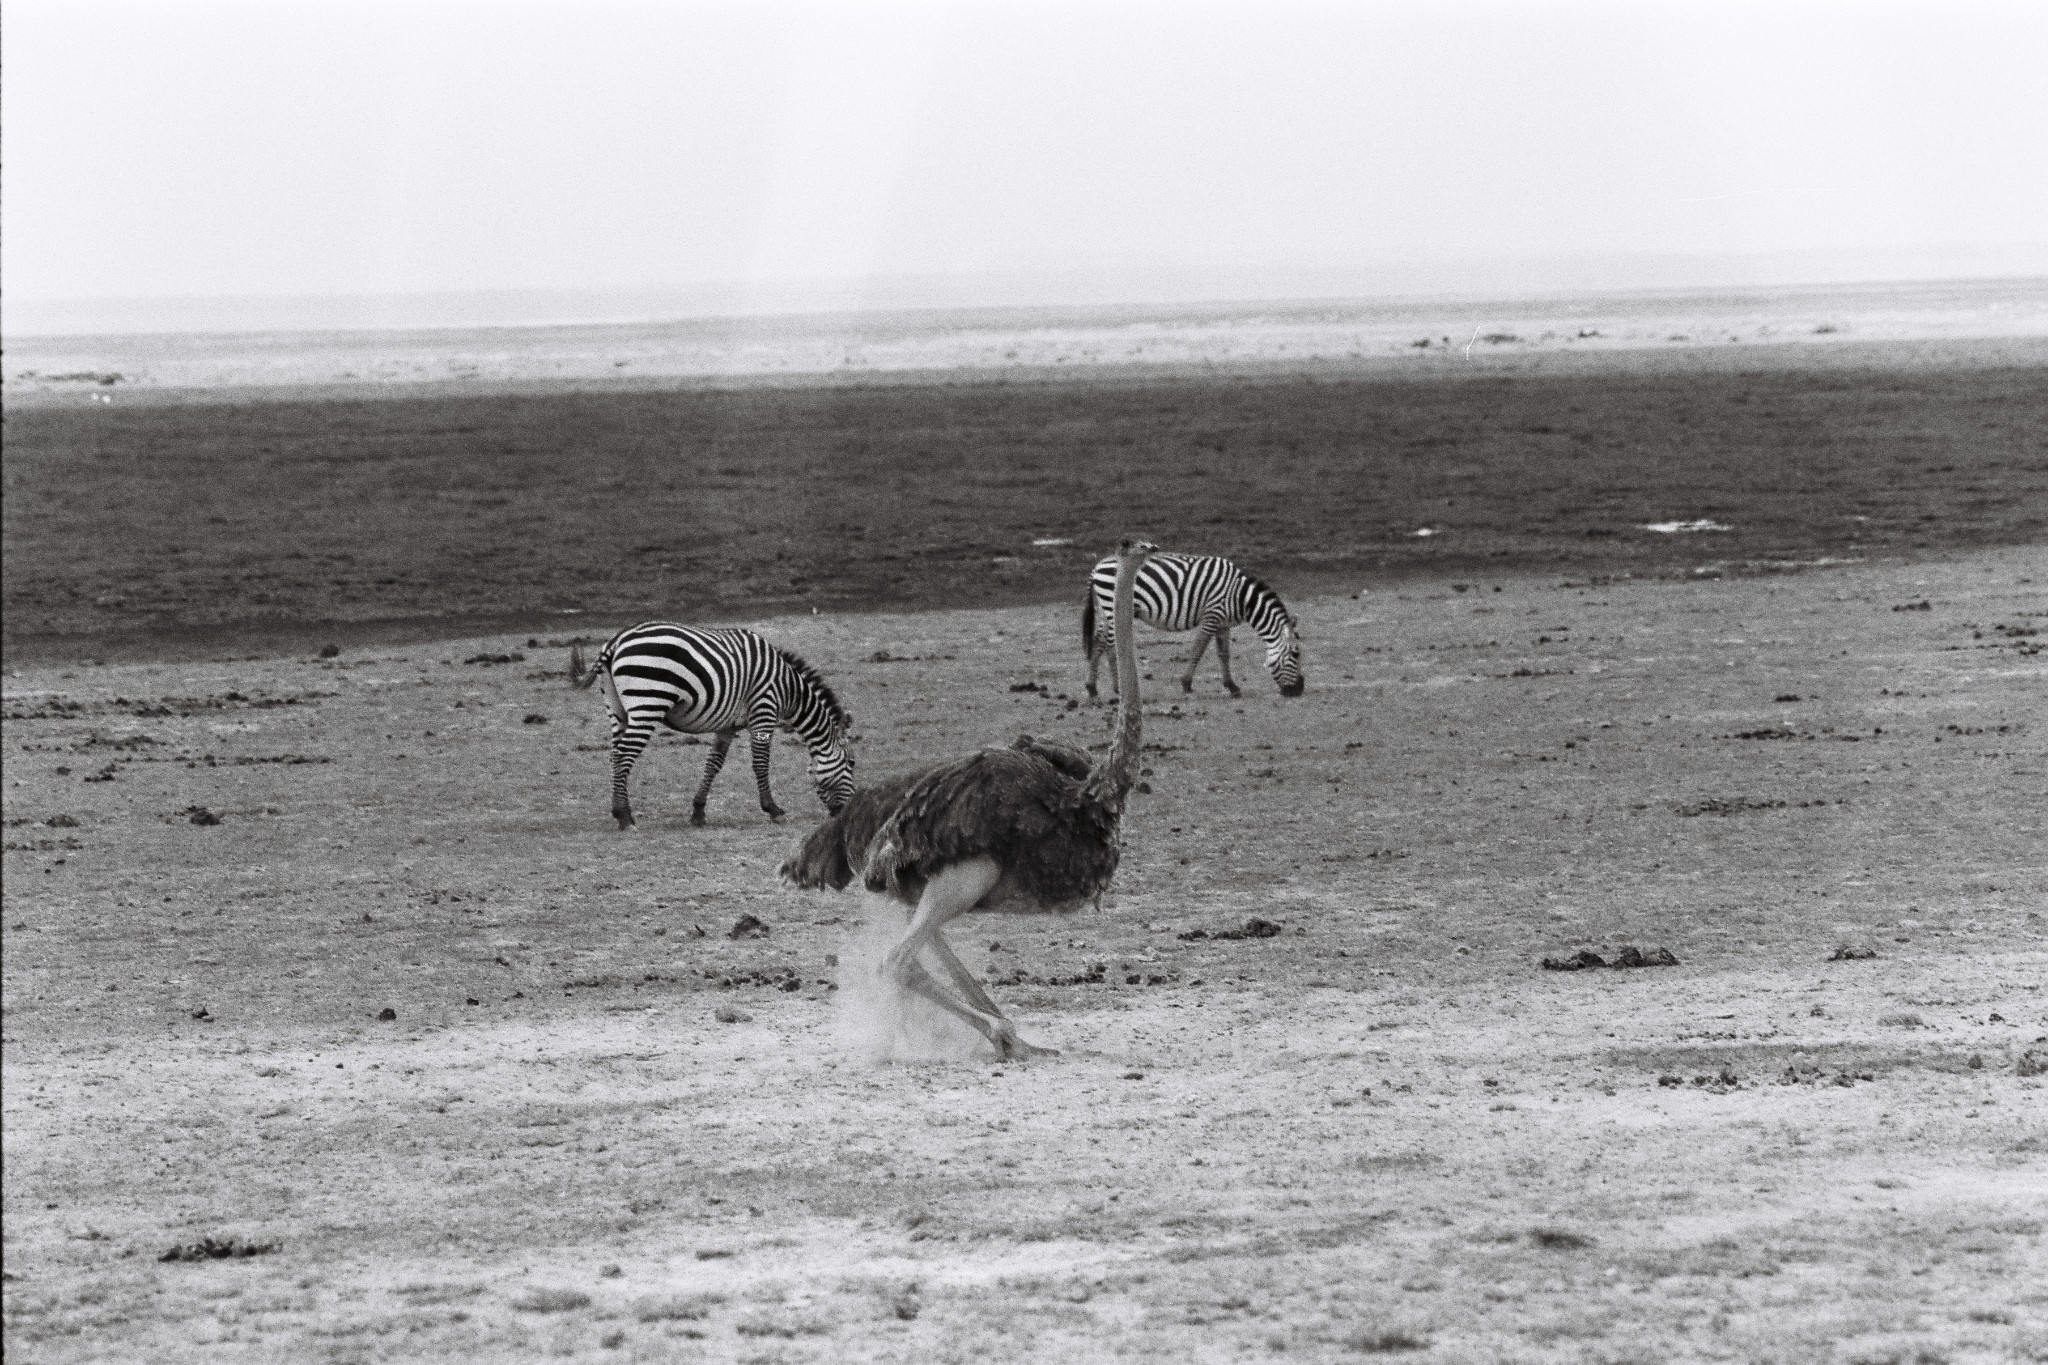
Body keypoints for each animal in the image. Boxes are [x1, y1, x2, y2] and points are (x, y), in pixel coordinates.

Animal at [565, 622, 851, 834]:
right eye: (852, 764)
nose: (844, 813)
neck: (789, 688)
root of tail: (616, 640)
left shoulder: (728, 725)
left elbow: (714, 763)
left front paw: (698, 812)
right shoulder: (764, 710)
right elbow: (761, 762)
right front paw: (773, 810)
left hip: (617, 709)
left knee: (615, 754)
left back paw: (620, 811)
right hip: (648, 702)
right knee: (624, 754)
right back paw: (625, 817)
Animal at [1081, 552, 1302, 699]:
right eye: (1295, 654)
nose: (1299, 690)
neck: (1241, 598)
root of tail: (1097, 567)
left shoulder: (1223, 624)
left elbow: (1224, 655)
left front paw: (1232, 686)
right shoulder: (1212, 616)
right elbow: (1198, 650)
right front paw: (1186, 683)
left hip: (1104, 609)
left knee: (1099, 641)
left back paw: (1092, 687)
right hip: (1112, 608)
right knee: (1110, 644)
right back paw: (1118, 687)